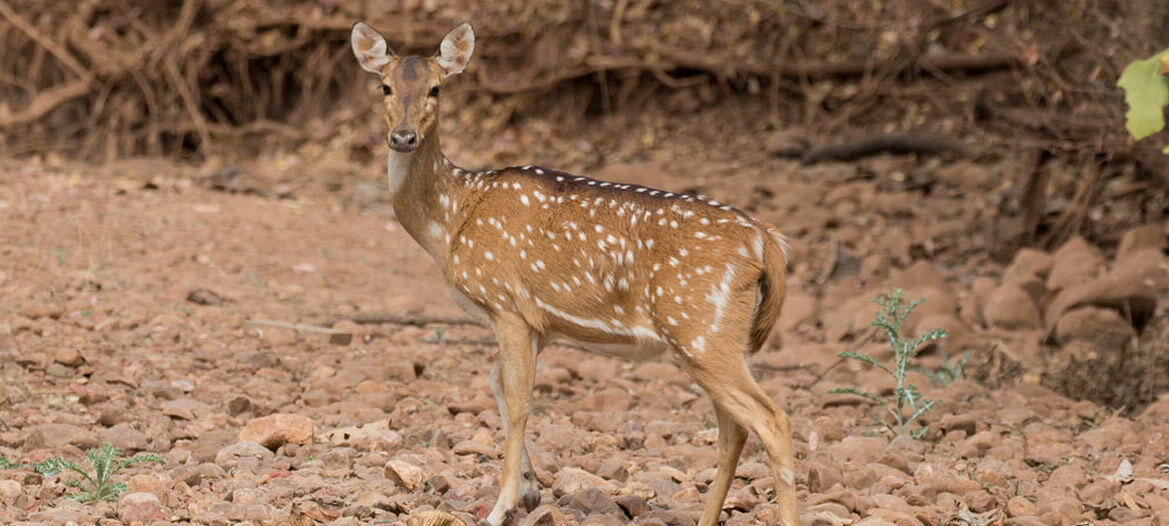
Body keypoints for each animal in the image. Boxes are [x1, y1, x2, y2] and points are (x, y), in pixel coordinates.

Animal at [350, 20, 799, 526]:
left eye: (436, 88)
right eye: (384, 86)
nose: (403, 136)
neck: (452, 220)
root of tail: (766, 240)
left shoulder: (507, 304)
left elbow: (519, 400)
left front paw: (501, 507)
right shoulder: (540, 324)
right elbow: (498, 385)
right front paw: (529, 492)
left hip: (700, 329)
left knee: (771, 420)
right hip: (715, 339)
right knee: (733, 430)